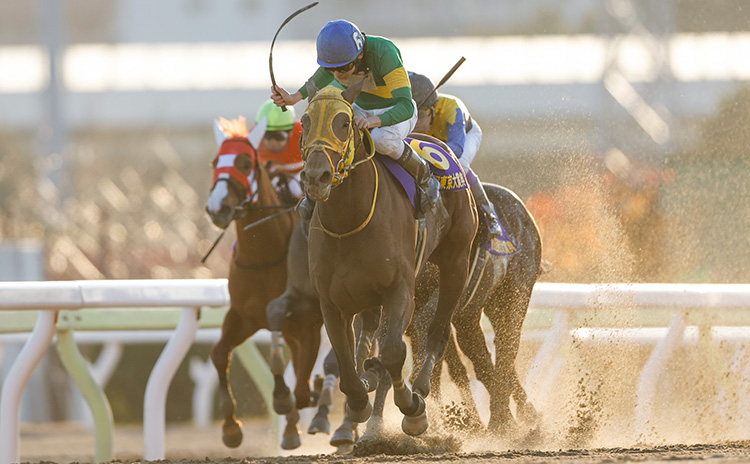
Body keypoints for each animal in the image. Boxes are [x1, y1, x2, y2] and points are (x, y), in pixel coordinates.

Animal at [207, 117, 324, 450]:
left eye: (246, 163)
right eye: (215, 163)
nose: (217, 208)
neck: (265, 257)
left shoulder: (309, 322)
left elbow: (299, 384)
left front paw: (286, 398)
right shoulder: (243, 316)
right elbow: (219, 353)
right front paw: (231, 427)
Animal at [298, 82, 476, 436]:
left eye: (344, 122)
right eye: (304, 122)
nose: (316, 177)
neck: (349, 223)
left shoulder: (399, 290)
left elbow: (394, 352)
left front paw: (412, 409)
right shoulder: (331, 302)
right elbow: (345, 363)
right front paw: (357, 402)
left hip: (457, 262)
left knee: (438, 331)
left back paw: (419, 387)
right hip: (366, 294)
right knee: (367, 336)